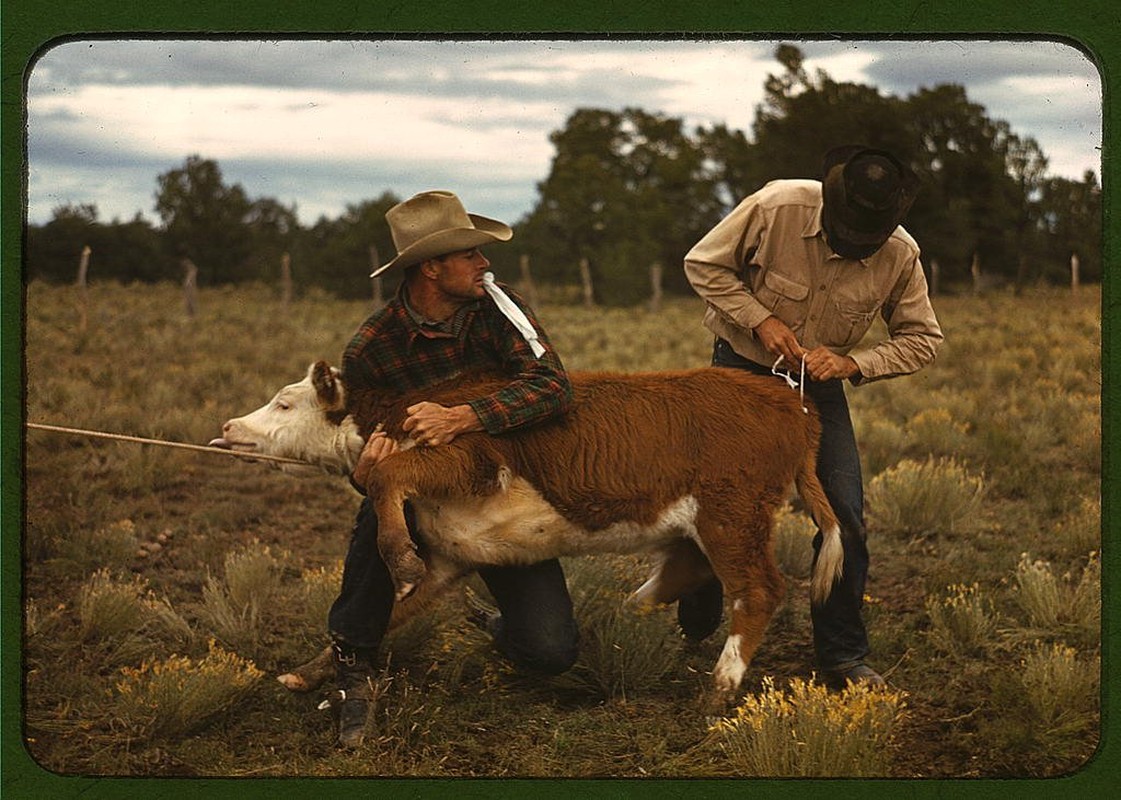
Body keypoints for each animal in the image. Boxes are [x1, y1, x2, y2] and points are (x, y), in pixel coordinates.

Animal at [210, 360, 842, 690]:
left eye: (285, 404)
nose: (229, 426)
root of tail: (793, 405)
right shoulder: (455, 554)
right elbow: (396, 610)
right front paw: (310, 671)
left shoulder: (464, 458)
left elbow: (388, 475)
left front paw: (400, 559)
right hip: (706, 523)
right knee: (683, 574)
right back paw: (616, 620)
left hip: (733, 515)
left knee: (760, 590)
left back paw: (723, 683)